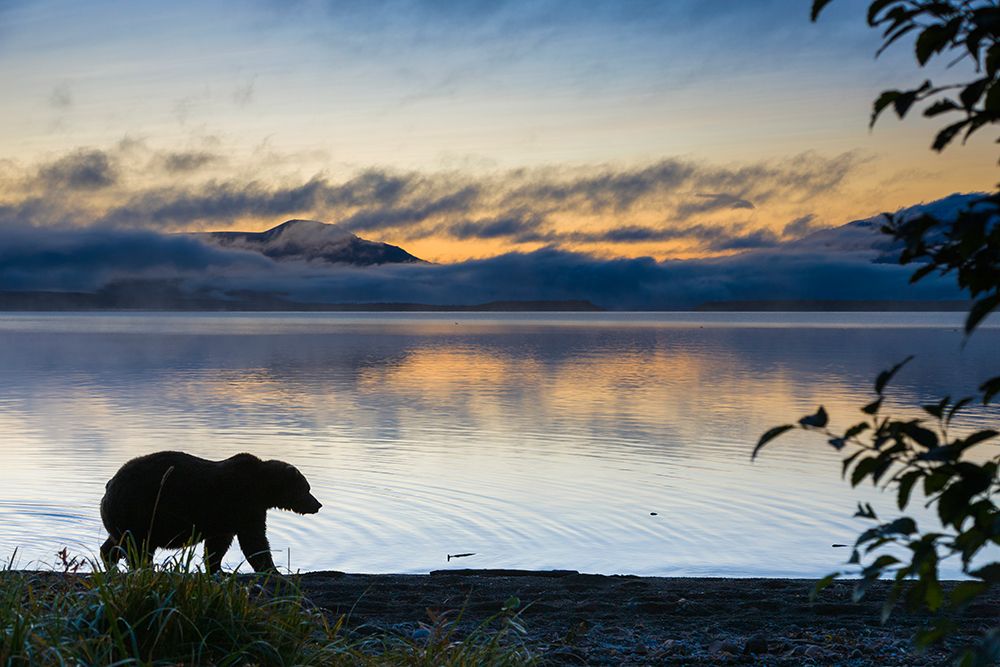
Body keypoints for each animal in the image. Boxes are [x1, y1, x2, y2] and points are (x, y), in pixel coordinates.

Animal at [100, 451, 321, 573]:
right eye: (307, 488)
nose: (317, 505)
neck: (262, 490)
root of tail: (111, 483)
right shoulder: (243, 504)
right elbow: (254, 541)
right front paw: (272, 569)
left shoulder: (225, 518)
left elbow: (218, 545)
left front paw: (217, 569)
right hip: (139, 510)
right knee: (138, 547)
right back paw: (143, 568)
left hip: (126, 517)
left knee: (117, 542)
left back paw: (110, 561)